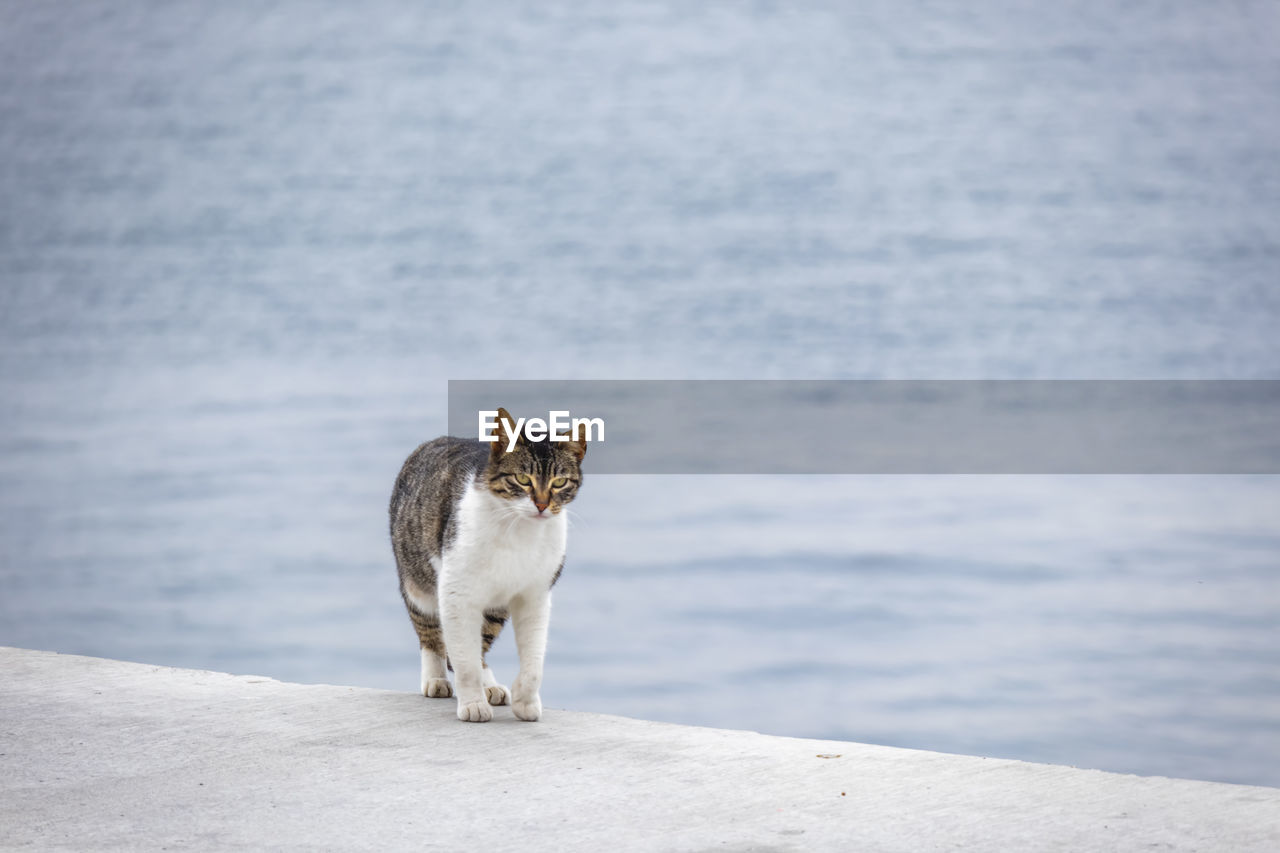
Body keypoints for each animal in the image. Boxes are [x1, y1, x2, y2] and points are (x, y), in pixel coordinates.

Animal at [386, 404, 586, 717]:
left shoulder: (535, 594)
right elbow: (464, 660)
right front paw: (472, 704)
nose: (541, 505)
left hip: (494, 607)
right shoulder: (456, 593)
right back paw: (436, 678)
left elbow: (533, 659)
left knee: (479, 642)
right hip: (415, 578)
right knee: (432, 632)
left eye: (559, 482)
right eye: (522, 479)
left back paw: (489, 684)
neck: (519, 530)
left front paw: (525, 700)